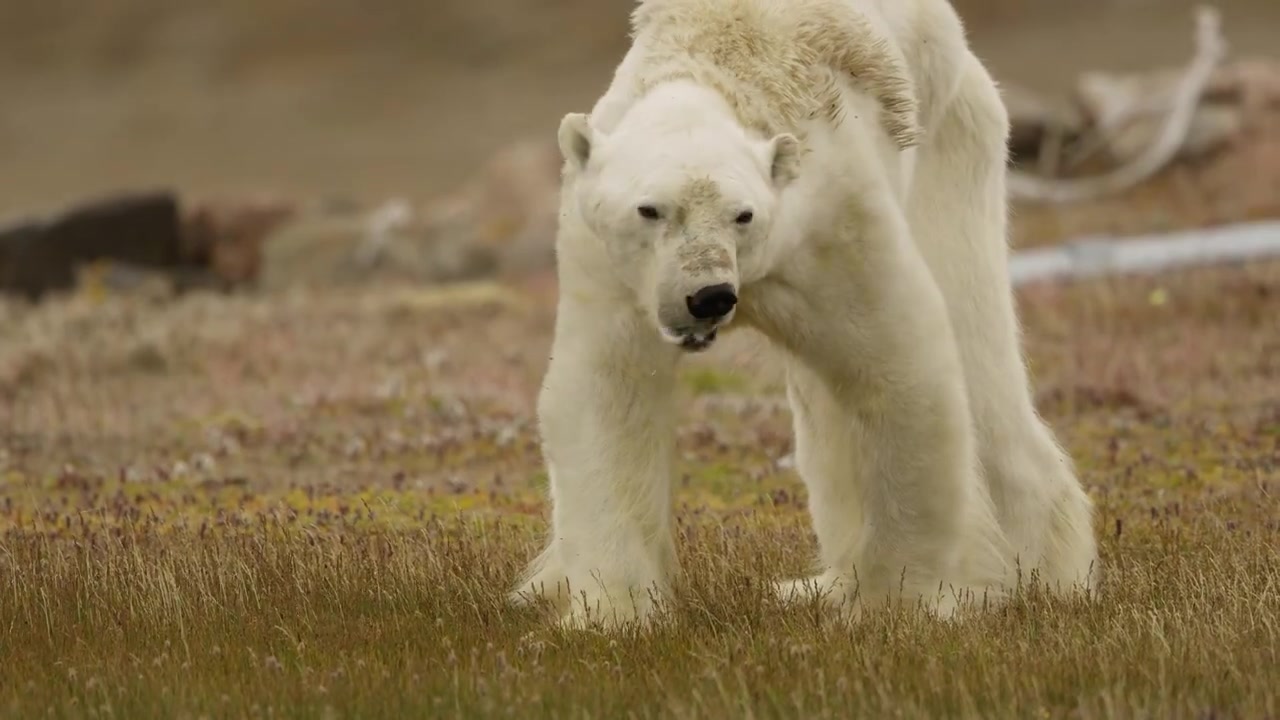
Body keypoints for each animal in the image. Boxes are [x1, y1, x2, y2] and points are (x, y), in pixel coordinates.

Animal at [509, 0, 1100, 625]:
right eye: (650, 209)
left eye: (742, 214)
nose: (710, 295)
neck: (707, 62)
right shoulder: (610, 267)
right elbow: (608, 391)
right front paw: (610, 614)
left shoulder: (835, 224)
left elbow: (902, 371)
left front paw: (895, 606)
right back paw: (818, 585)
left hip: (953, 150)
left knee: (977, 357)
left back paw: (1048, 576)